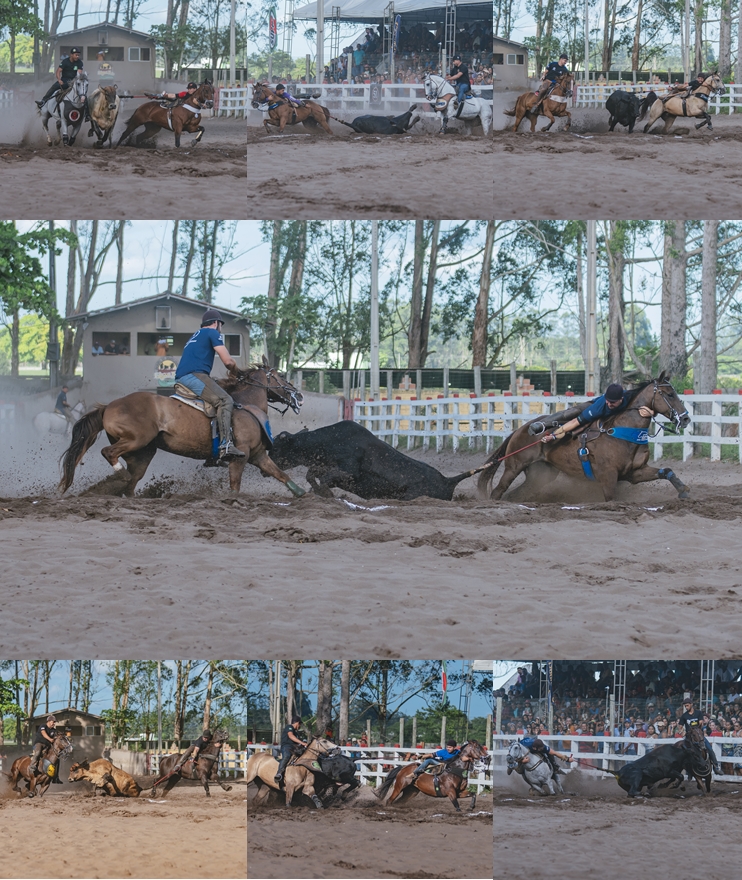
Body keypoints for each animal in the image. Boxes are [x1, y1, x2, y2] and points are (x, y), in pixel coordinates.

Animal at [58, 358, 308, 496]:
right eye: (281, 376)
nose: (300, 396)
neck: (246, 404)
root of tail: (109, 406)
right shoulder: (241, 456)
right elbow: (235, 486)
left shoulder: (257, 455)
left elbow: (281, 474)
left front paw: (302, 494)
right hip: (136, 439)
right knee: (108, 453)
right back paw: (120, 475)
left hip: (143, 453)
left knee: (131, 482)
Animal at [270, 422, 486, 502]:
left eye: (278, 446)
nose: (267, 456)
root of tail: (447, 481)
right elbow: (311, 475)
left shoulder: (349, 470)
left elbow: (324, 479)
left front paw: (326, 493)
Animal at [480, 374, 696, 506]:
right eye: (670, 394)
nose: (685, 418)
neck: (622, 432)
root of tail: (520, 430)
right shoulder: (608, 477)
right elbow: (611, 499)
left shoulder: (634, 473)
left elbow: (666, 471)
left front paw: (684, 490)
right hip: (514, 466)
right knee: (498, 491)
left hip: (540, 475)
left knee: (514, 494)